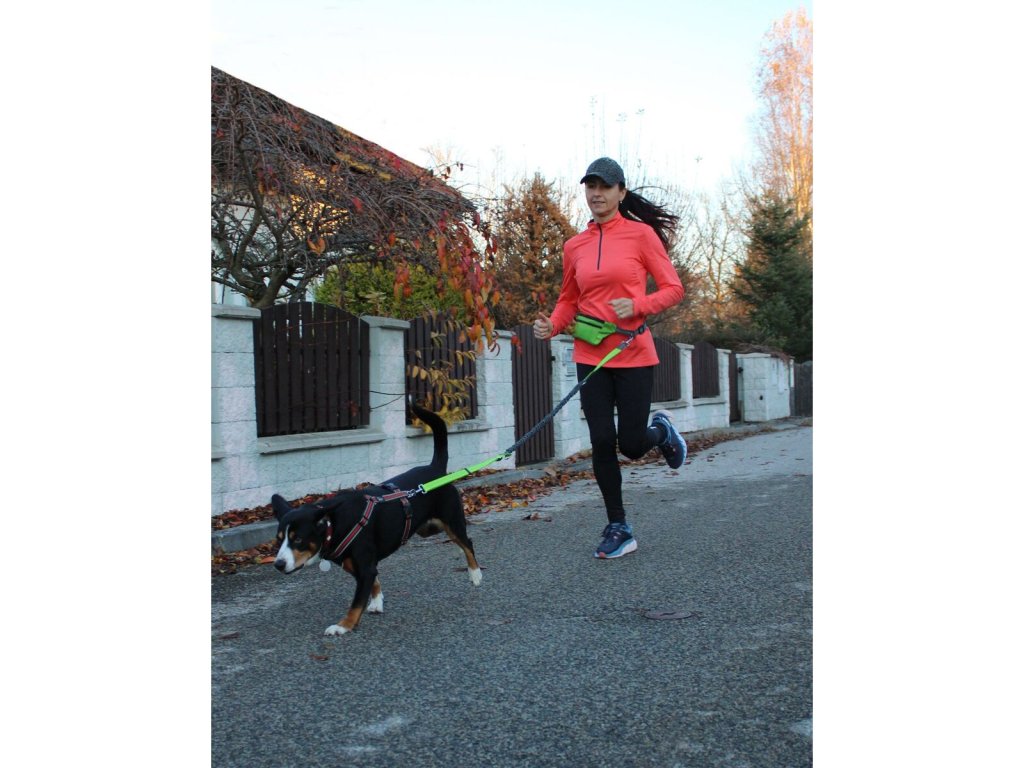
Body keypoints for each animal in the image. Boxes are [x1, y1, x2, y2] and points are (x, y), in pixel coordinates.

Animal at [271, 403, 482, 636]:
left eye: (298, 539)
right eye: (278, 540)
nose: (278, 564)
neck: (335, 524)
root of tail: (435, 469)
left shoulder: (364, 567)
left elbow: (356, 603)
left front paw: (343, 626)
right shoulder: (361, 567)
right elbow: (374, 583)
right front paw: (377, 602)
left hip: (452, 521)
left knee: (467, 543)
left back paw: (475, 574)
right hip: (428, 528)